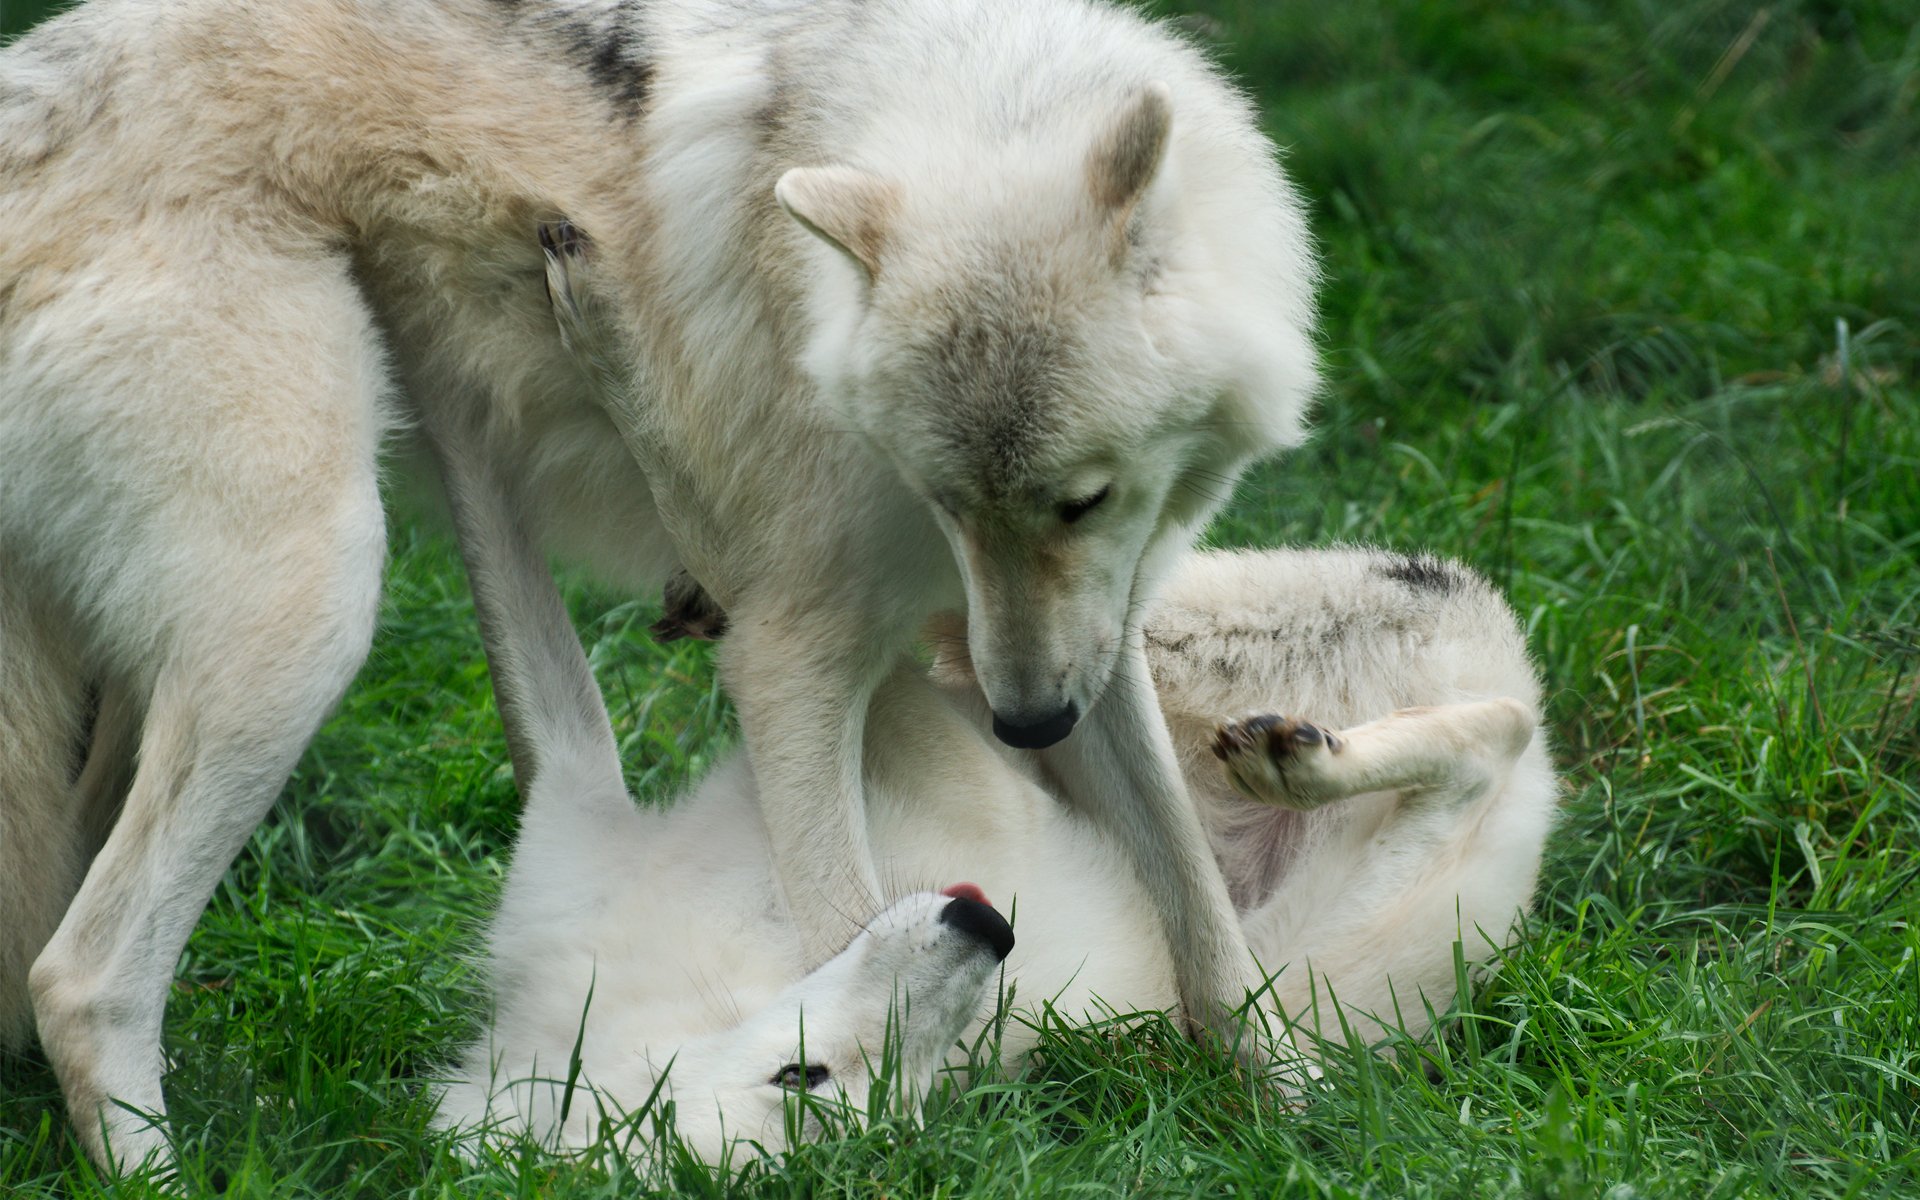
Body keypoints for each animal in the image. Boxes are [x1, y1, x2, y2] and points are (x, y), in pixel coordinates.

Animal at [0, 0, 1320, 1167]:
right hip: (312, 617)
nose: (1028, 726)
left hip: (126, 700)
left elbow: (1198, 904)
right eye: (947, 498)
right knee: (83, 976)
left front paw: (1285, 1102)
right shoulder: (794, 661)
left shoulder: (1082, 639)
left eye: (1080, 502)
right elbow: (844, 918)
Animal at [428, 410, 1551, 1159]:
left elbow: (494, 513)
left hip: (1153, 627)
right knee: (1490, 738)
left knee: (1493, 723)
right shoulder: (573, 805)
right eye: (807, 1078)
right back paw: (1302, 760)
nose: (988, 927)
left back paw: (1300, 754)